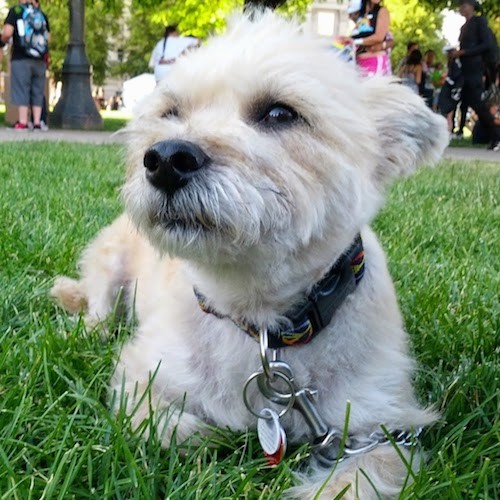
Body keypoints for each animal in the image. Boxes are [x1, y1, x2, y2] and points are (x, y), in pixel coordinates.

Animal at [51, 10, 450, 496]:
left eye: (280, 113)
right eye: (171, 113)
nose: (164, 159)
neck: (259, 318)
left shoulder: (383, 428)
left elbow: (358, 479)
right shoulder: (141, 369)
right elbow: (155, 419)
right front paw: (197, 434)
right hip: (111, 263)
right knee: (98, 305)